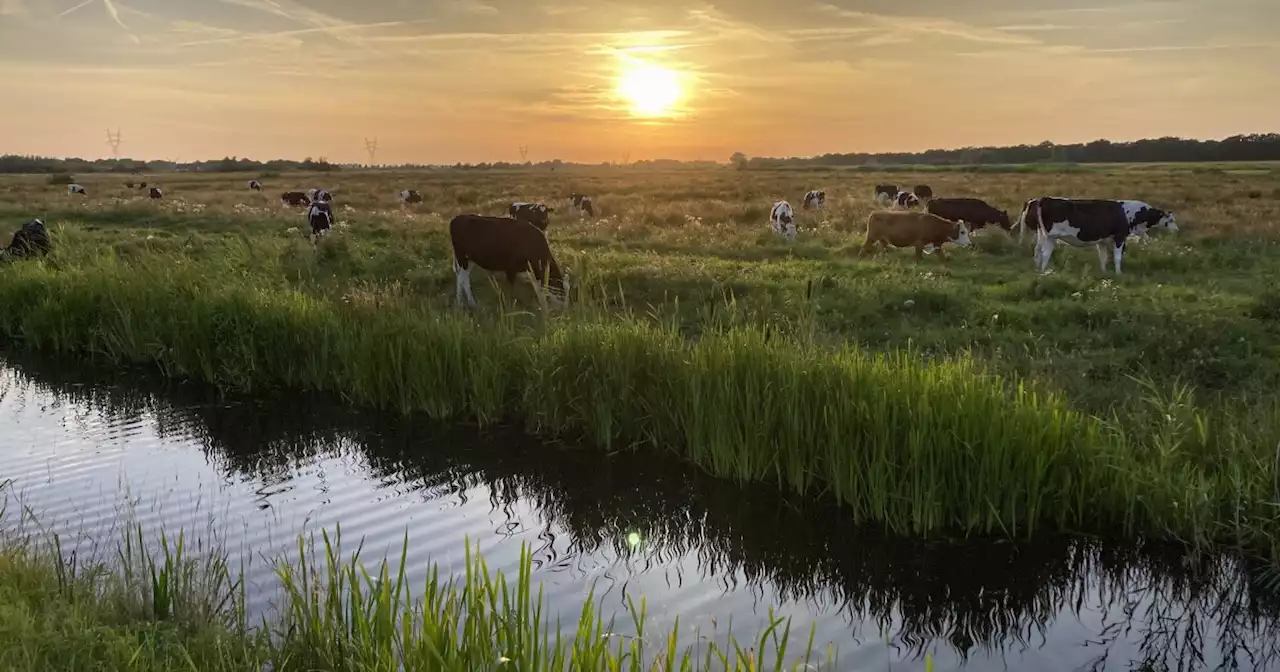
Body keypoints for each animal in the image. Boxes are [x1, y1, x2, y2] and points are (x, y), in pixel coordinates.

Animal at [1018, 194, 1177, 273]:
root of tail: (1045, 198)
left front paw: (1104, 272)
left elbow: (1103, 258)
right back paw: (1044, 272)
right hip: (1050, 236)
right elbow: (1117, 257)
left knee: (1037, 251)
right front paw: (1118, 273)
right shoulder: (1120, 237)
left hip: (1041, 234)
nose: (1176, 230)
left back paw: (1038, 269)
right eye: (1171, 219)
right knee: (1045, 253)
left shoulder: (1102, 241)